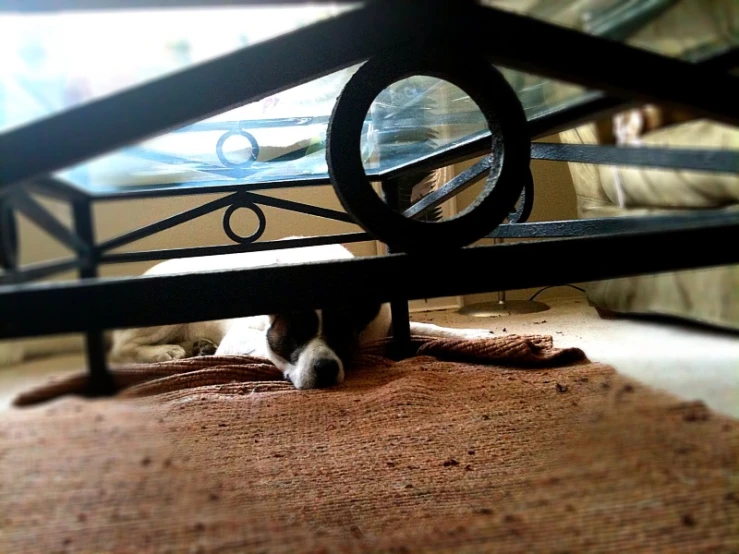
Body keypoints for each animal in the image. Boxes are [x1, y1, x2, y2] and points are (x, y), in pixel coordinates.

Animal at [111, 238, 492, 388]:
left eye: (341, 333)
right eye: (294, 335)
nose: (324, 369)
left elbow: (431, 327)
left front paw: (475, 334)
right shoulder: (243, 336)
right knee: (121, 350)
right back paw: (168, 352)